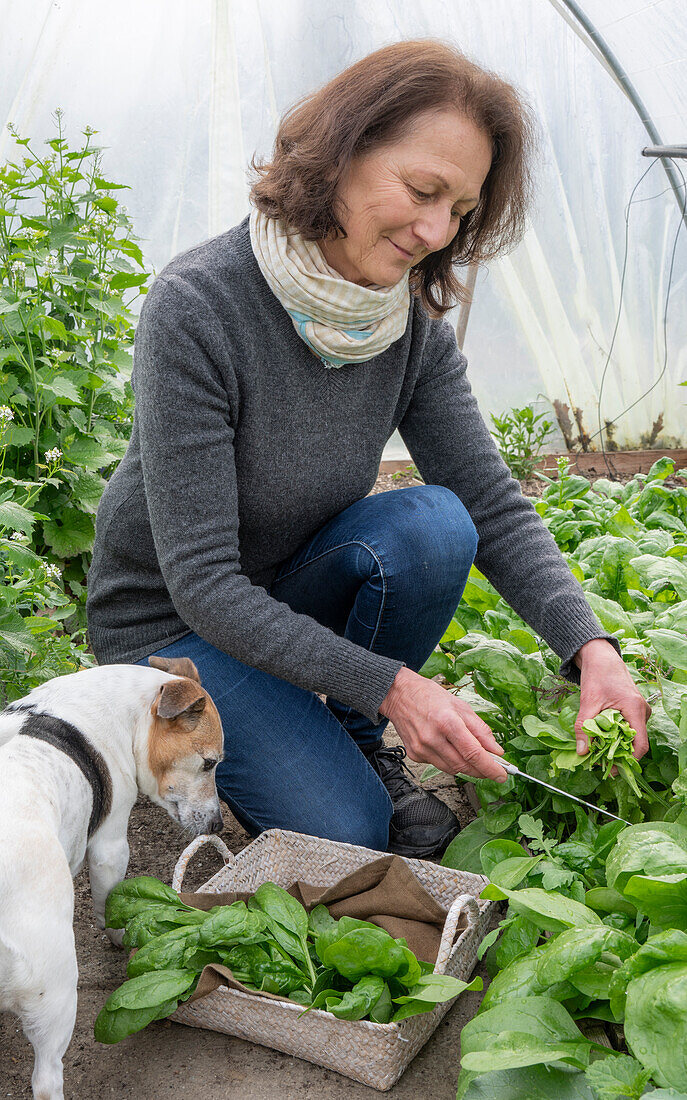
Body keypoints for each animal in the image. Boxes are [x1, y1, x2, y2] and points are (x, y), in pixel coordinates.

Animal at [0, 655, 224, 1095]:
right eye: (209, 763)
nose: (219, 825)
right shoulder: (110, 846)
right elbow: (111, 903)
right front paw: (122, 937)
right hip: (55, 991)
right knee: (47, 1077)